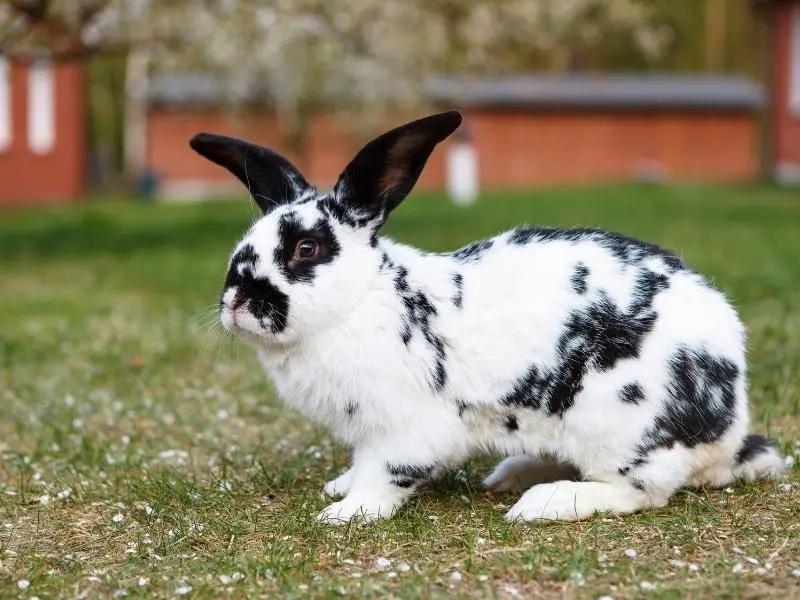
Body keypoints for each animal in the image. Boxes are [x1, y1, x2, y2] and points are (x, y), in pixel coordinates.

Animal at [191, 110, 784, 524]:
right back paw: (510, 475)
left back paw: (543, 503)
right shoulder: (368, 432)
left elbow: (386, 474)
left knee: (641, 491)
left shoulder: (408, 430)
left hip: (618, 427)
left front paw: (345, 512)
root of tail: (729, 428)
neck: (362, 300)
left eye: (306, 249)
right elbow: (362, 462)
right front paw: (340, 487)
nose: (235, 300)